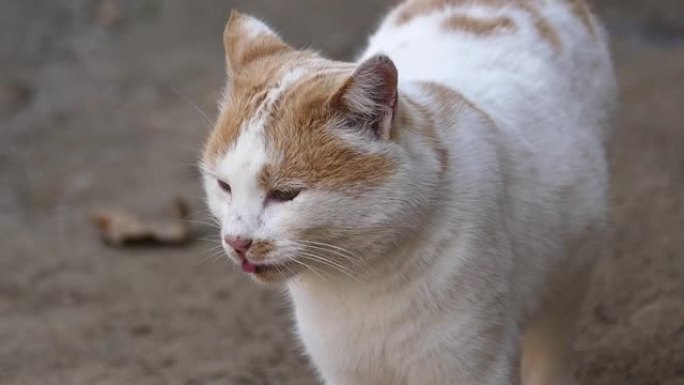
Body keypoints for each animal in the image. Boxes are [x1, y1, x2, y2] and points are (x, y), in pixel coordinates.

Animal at [200, 1, 616, 382]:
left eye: (286, 194)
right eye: (224, 186)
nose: (237, 241)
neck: (359, 281)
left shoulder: (470, 365)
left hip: (567, 278)